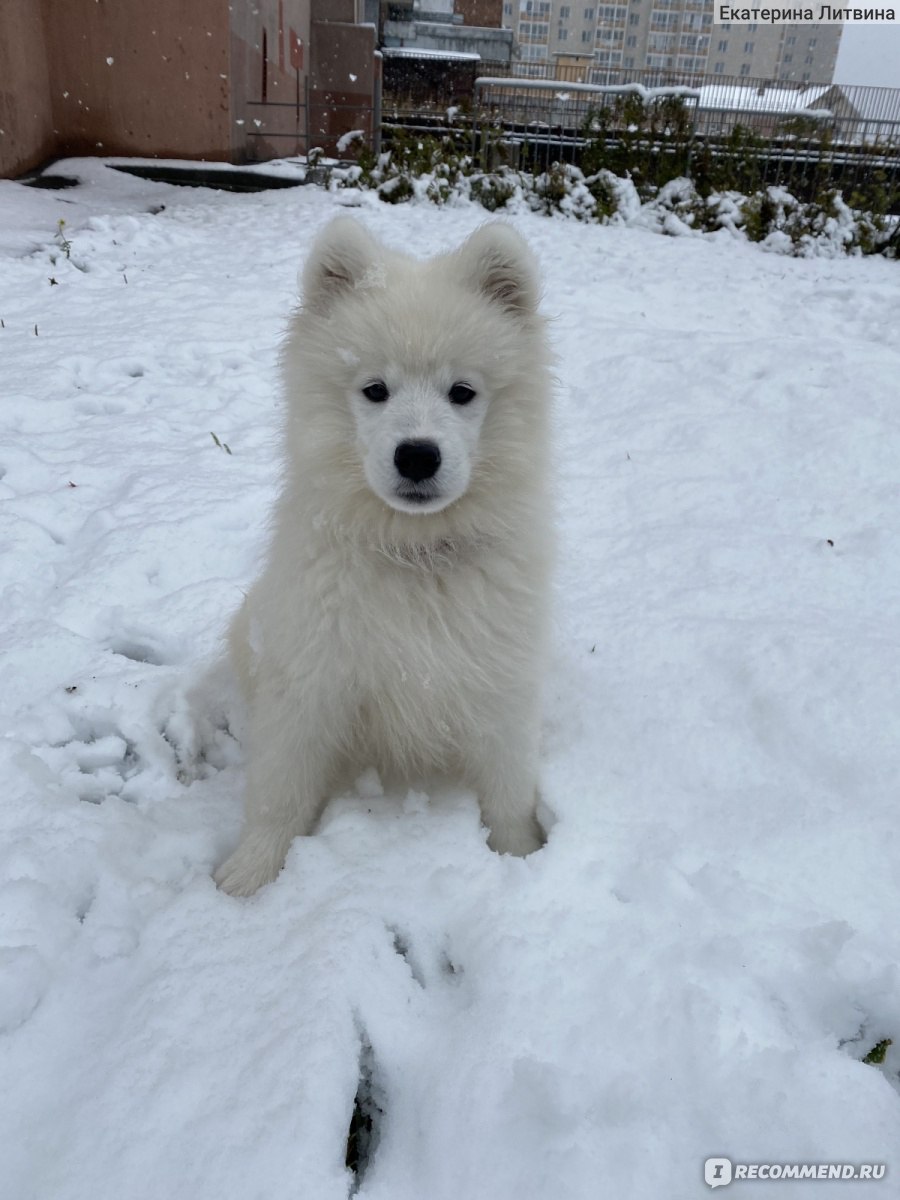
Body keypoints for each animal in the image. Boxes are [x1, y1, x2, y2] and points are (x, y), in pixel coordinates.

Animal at [217, 216, 556, 897]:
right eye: (375, 390)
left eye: (462, 391)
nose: (417, 455)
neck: (415, 551)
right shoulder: (310, 681)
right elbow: (279, 791)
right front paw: (250, 877)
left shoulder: (501, 678)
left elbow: (508, 789)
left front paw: (520, 857)